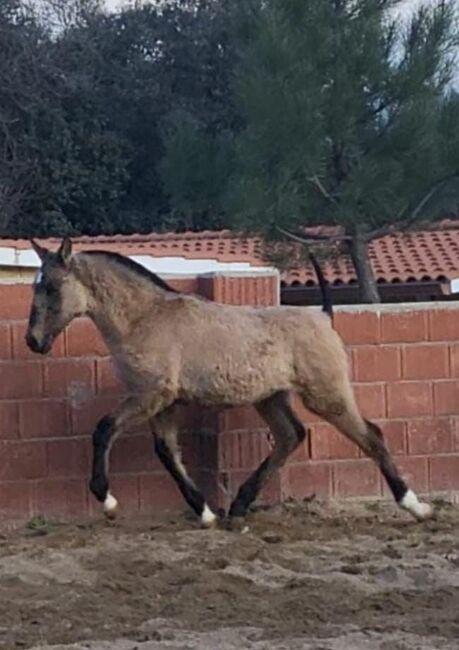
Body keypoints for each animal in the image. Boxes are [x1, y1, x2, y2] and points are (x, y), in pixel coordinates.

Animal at [26, 238, 434, 528]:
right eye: (35, 287)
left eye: (53, 287)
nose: (34, 340)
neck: (145, 317)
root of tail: (323, 317)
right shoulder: (162, 402)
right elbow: (167, 452)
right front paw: (205, 512)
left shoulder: (150, 395)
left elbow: (104, 429)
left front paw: (107, 500)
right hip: (271, 398)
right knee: (291, 436)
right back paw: (238, 506)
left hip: (326, 393)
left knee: (370, 435)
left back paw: (415, 506)